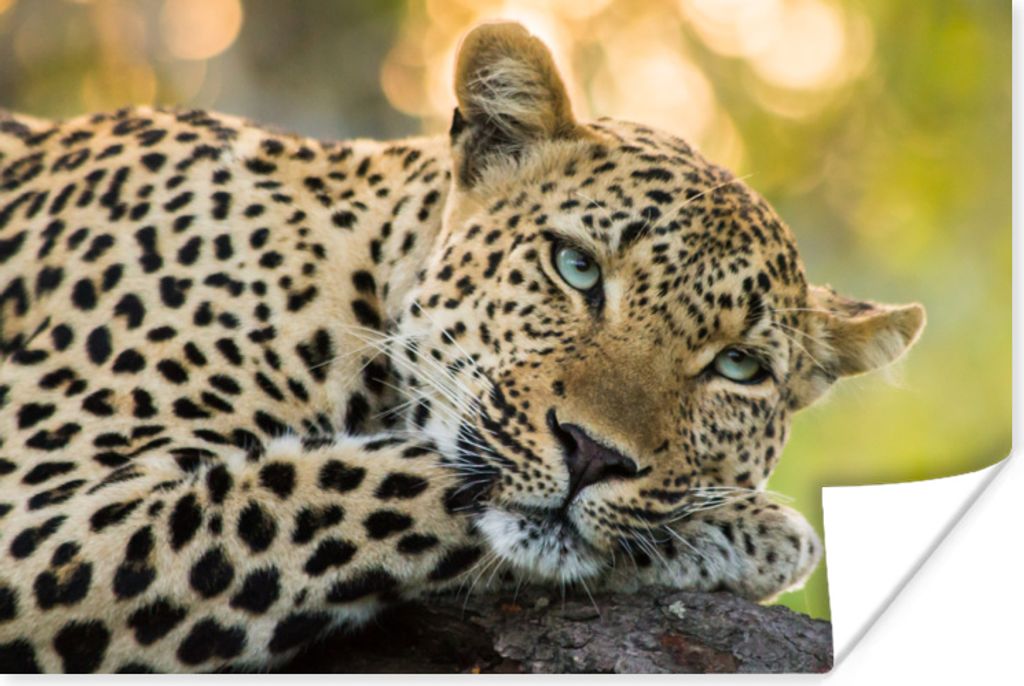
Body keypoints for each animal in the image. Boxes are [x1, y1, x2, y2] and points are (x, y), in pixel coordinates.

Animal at [0, 22, 925, 673]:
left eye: (739, 367)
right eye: (576, 266)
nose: (593, 455)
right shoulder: (44, 518)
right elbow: (355, 479)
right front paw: (755, 531)